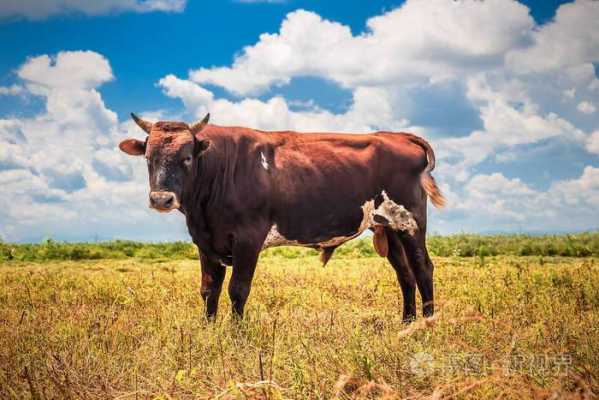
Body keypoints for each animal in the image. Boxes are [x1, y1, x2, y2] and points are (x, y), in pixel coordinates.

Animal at [118, 112, 446, 322]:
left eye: (186, 158)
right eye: (148, 158)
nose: (161, 199)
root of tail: (398, 136)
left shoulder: (248, 238)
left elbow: (238, 289)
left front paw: (236, 335)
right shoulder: (206, 242)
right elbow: (209, 290)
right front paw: (208, 332)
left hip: (410, 221)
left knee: (422, 268)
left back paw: (426, 324)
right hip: (388, 227)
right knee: (404, 274)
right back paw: (406, 324)